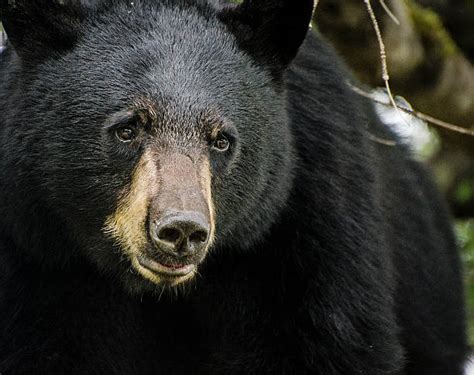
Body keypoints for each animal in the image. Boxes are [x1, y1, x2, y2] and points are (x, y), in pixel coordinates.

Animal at [0, 0, 466, 374]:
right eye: (128, 129)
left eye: (221, 140)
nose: (181, 230)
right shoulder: (36, 247)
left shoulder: (314, 213)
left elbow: (327, 340)